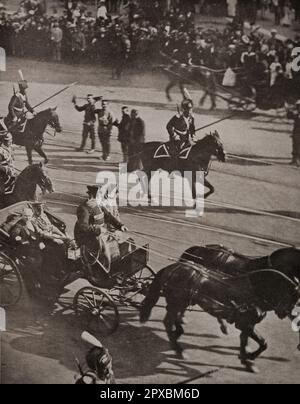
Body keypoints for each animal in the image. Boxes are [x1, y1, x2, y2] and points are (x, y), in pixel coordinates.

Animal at [140, 262, 300, 372]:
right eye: (293, 297)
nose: (283, 313)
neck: (254, 291)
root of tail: (173, 267)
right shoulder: (245, 324)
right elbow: (257, 342)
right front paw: (249, 359)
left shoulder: (247, 325)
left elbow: (255, 342)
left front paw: (247, 358)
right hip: (177, 302)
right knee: (168, 321)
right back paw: (179, 349)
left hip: (181, 303)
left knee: (173, 319)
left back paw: (178, 335)